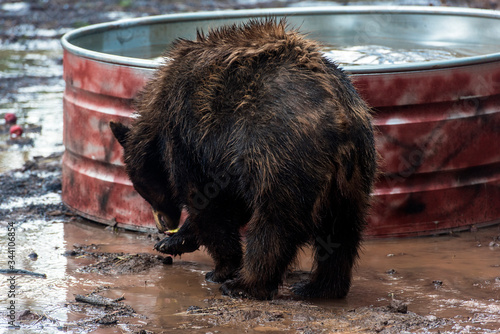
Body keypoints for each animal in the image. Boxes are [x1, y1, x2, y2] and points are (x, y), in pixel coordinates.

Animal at [109, 18, 376, 300]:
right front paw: (172, 241)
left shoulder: (192, 139)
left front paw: (221, 268)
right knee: (343, 231)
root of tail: (340, 118)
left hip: (281, 156)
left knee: (274, 224)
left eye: (140, 187)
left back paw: (245, 284)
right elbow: (228, 202)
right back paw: (319, 287)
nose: (162, 225)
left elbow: (208, 201)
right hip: (354, 177)